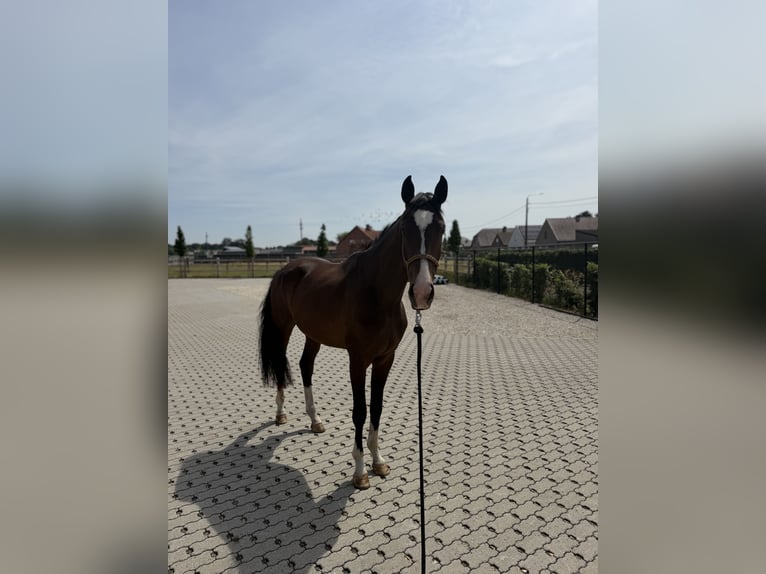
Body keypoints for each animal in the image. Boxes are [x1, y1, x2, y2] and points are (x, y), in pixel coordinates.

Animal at [259, 175, 448, 489]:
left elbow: (377, 407)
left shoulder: (385, 359)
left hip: (313, 334)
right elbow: (360, 411)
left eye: (441, 228)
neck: (376, 294)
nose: (421, 293)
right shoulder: (357, 360)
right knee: (282, 363)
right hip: (284, 328)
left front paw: (378, 461)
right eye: (405, 228)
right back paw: (281, 413)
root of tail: (286, 269)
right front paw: (360, 472)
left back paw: (315, 420)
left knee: (305, 366)